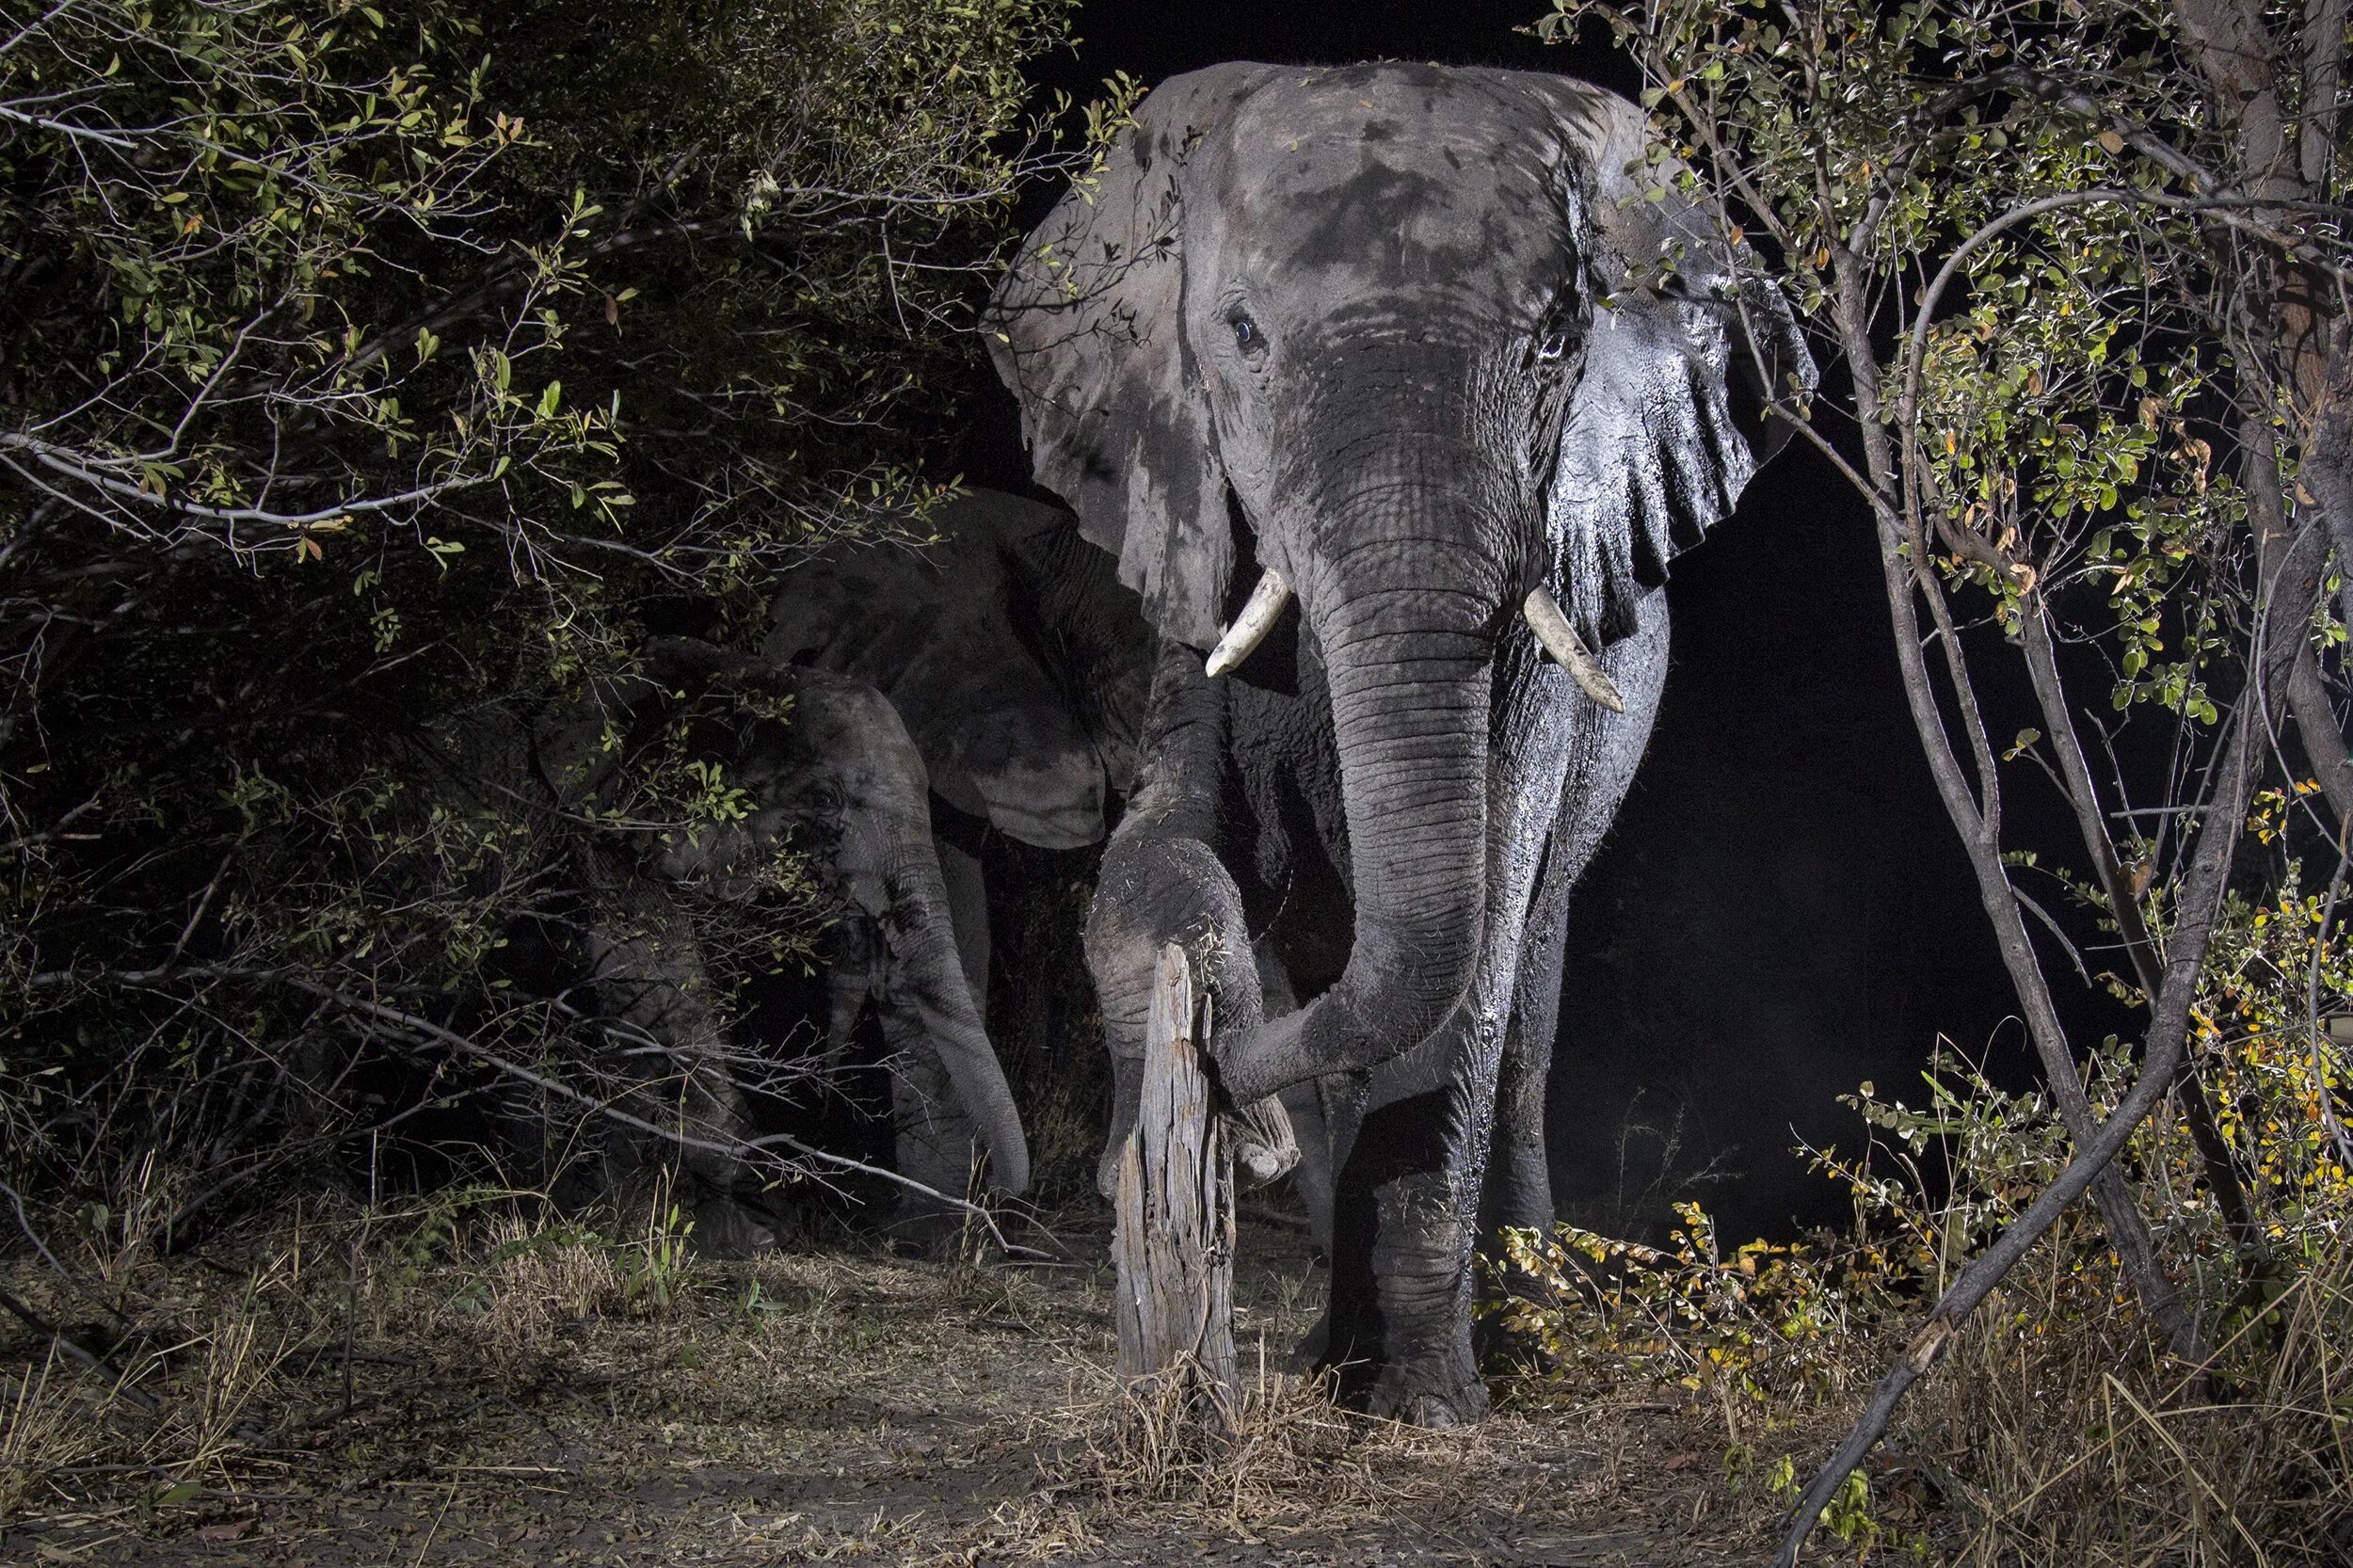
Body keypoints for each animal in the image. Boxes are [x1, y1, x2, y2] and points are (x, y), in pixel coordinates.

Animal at [984, 64, 1807, 1412]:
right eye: (1242, 336)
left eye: (1553, 345)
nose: (1232, 1113)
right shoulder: (1190, 559)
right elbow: (1158, 851)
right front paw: (1211, 1080)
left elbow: (1468, 959)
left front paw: (1422, 1403)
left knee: (1525, 997)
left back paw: (1520, 1321)